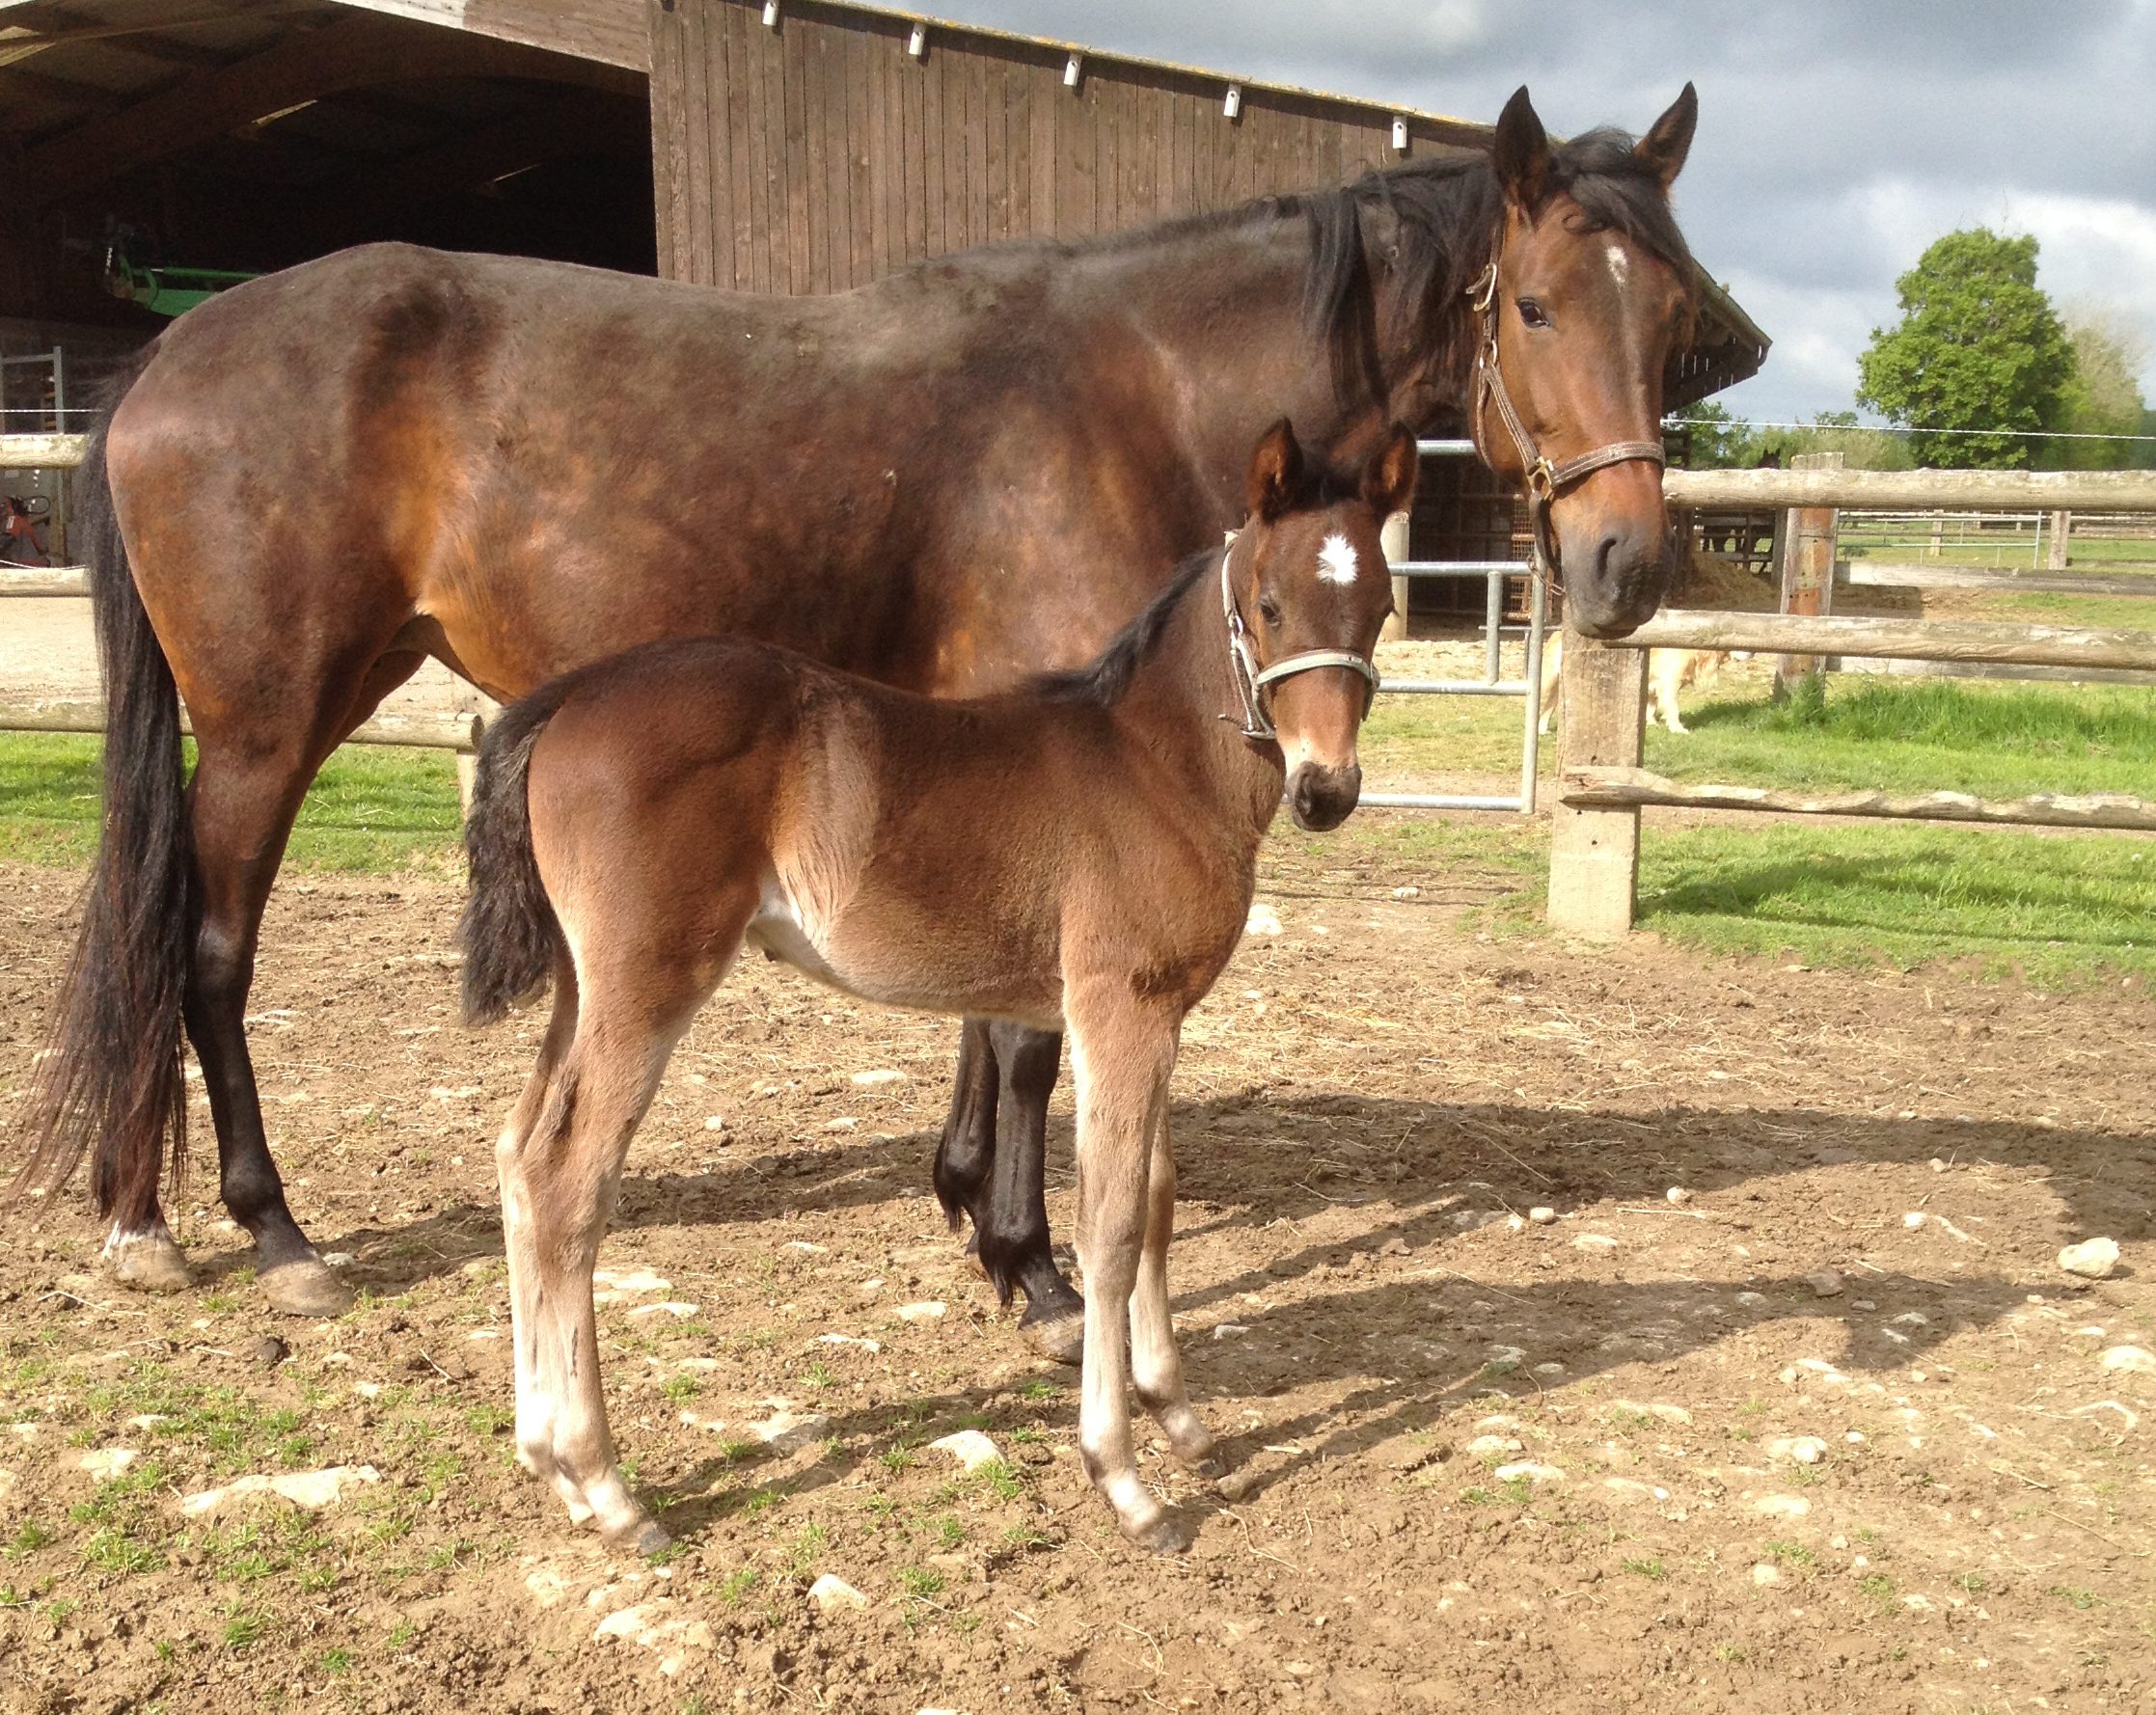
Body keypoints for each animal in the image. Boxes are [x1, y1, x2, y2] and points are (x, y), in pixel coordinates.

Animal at [16, 83, 1699, 1335]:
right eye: (1532, 306)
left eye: (1670, 312)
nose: (1623, 563)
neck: (1130, 390)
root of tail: (169, 350)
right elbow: (1022, 1040)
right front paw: (1030, 1265)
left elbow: (986, 1004)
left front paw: (966, 1201)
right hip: (265, 728)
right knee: (203, 953)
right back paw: (265, 1230)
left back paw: (138, 1212)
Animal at [454, 418, 1414, 1551]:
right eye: (1268, 605)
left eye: (1383, 606)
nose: (1327, 790)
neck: (1152, 763)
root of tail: (569, 696)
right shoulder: (1118, 1008)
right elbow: (1110, 1222)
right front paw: (1124, 1479)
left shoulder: (1159, 1014)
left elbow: (1159, 1200)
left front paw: (1177, 1414)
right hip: (647, 985)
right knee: (570, 1184)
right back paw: (608, 1486)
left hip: (582, 987)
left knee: (519, 1156)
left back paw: (547, 1462)